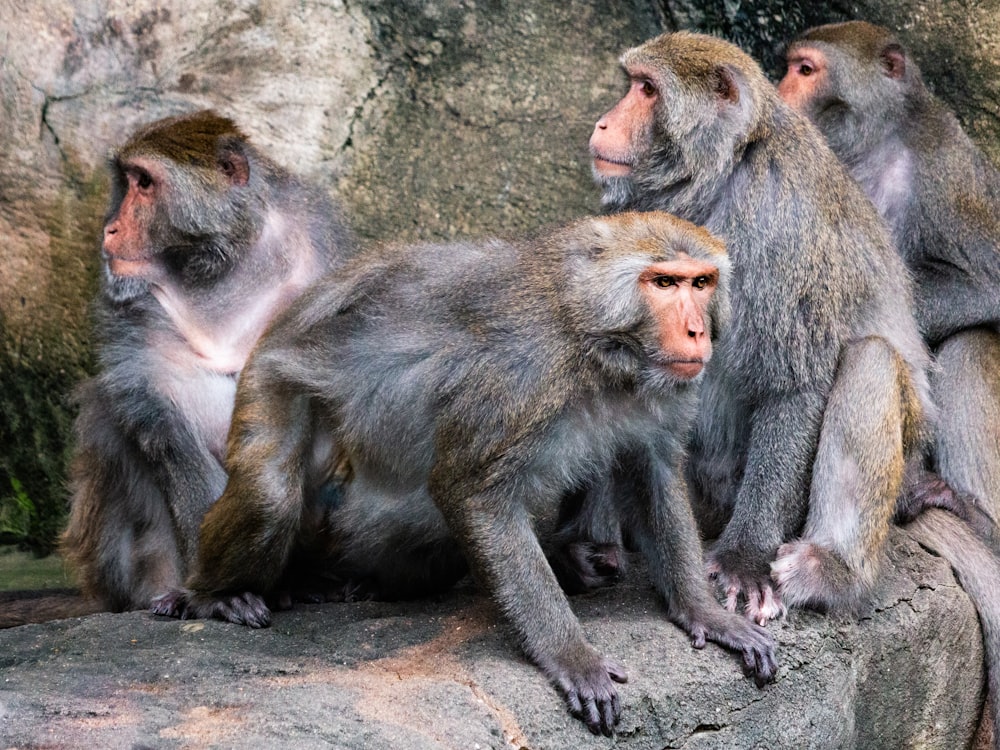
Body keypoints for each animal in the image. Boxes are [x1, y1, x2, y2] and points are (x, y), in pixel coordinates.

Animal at [60, 111, 354, 616]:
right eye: (128, 182)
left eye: (144, 183)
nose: (110, 229)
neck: (220, 269)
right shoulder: (135, 305)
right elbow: (159, 413)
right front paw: (220, 593)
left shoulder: (322, 250)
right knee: (108, 416)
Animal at [152, 212, 776, 736]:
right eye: (663, 283)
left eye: (701, 283)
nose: (696, 333)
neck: (595, 339)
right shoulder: (522, 371)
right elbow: (473, 492)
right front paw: (570, 655)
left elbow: (652, 474)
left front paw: (703, 611)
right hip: (268, 378)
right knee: (270, 493)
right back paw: (213, 595)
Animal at [588, 30, 932, 628]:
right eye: (632, 83)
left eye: (647, 90)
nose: (604, 123)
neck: (722, 176)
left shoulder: (786, 228)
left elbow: (795, 387)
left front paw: (744, 560)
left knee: (869, 358)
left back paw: (831, 571)